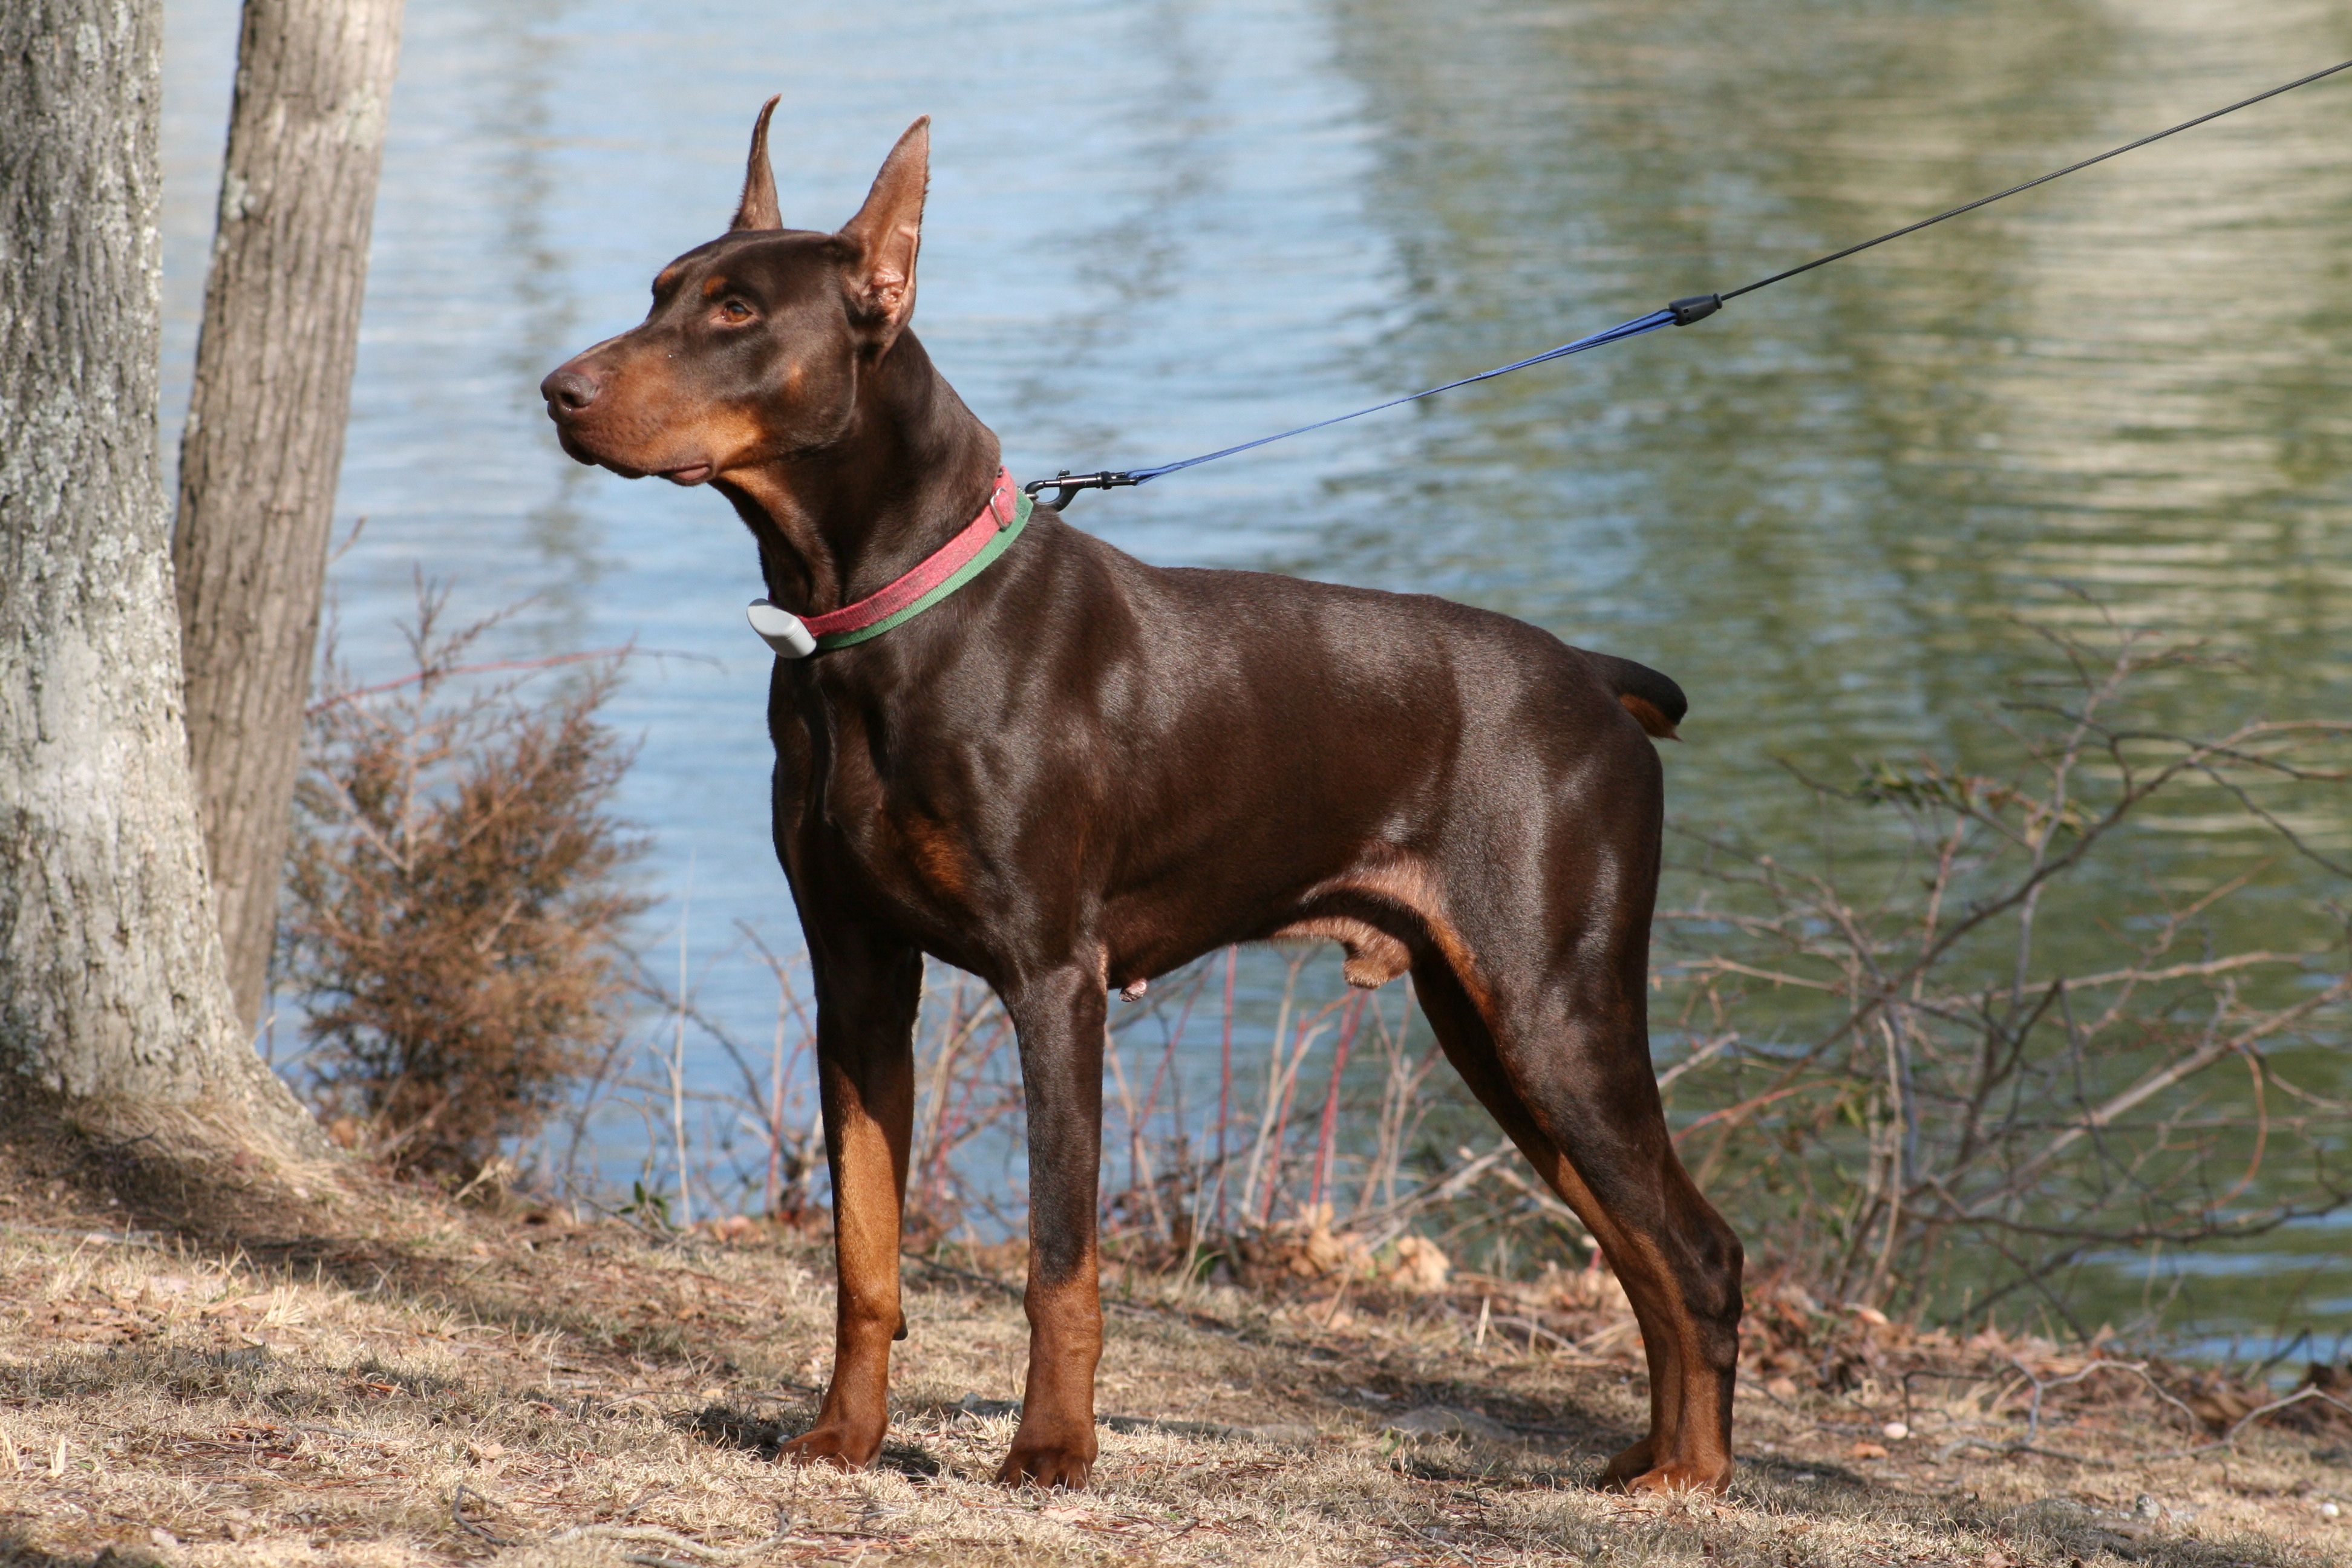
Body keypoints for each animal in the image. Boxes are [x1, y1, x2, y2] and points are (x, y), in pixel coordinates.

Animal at [541, 101, 1740, 1495]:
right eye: (660, 291)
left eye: (736, 312)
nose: (558, 391)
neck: (877, 615)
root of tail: (1598, 680)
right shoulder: (858, 975)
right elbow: (862, 1252)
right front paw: (843, 1439)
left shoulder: (1053, 980)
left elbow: (1059, 1261)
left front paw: (1051, 1454)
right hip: (1489, 1027)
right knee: (1644, 1250)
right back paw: (1651, 1464)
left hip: (1553, 1008)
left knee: (1696, 1252)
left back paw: (1692, 1481)